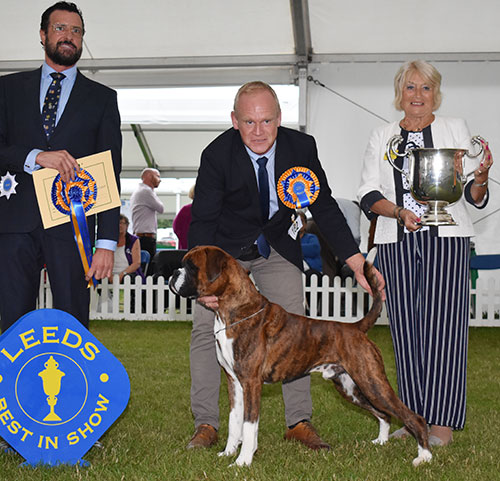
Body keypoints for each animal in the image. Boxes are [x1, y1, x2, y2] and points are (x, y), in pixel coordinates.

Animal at [170, 246, 432, 464]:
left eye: (191, 266)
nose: (173, 273)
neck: (233, 312)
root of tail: (356, 328)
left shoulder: (251, 383)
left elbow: (249, 425)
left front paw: (243, 461)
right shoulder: (234, 383)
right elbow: (235, 422)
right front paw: (228, 452)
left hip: (372, 382)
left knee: (412, 417)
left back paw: (424, 457)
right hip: (351, 388)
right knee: (384, 415)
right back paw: (381, 442)